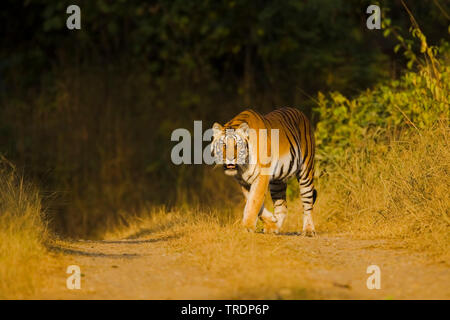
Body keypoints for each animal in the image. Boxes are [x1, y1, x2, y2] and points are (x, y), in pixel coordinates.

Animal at [211, 107, 316, 235]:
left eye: (237, 145)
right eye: (224, 145)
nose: (230, 159)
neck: (242, 167)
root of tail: (300, 113)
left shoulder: (261, 176)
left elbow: (254, 200)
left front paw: (248, 226)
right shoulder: (244, 182)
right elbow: (253, 202)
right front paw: (271, 221)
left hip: (306, 171)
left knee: (308, 203)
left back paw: (309, 230)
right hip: (277, 183)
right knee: (282, 207)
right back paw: (274, 228)